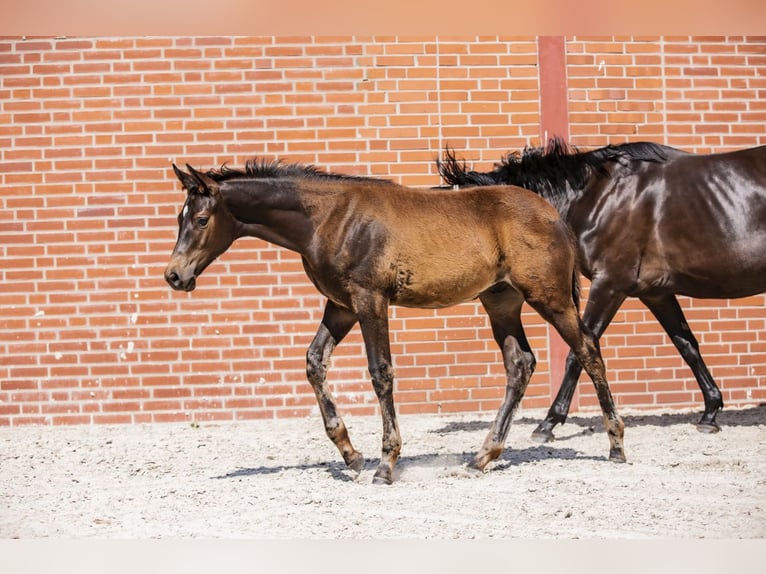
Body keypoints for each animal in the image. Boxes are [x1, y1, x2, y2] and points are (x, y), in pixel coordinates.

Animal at [165, 159, 628, 486]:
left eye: (201, 220)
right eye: (179, 218)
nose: (174, 276)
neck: (329, 217)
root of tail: (554, 215)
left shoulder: (370, 300)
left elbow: (380, 372)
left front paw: (385, 464)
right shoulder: (341, 305)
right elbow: (315, 363)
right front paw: (351, 455)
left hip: (549, 298)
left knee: (588, 350)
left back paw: (615, 446)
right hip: (501, 301)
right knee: (520, 364)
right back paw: (481, 457)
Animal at [438, 138, 766, 440]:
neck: (598, 196)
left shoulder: (609, 284)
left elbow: (579, 351)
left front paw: (549, 423)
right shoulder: (656, 293)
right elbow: (687, 345)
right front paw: (710, 412)